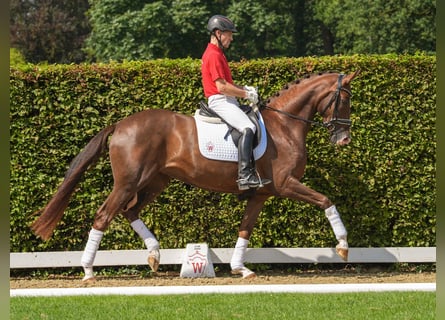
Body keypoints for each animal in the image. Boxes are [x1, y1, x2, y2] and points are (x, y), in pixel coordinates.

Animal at [31, 70, 360, 280]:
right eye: (344, 99)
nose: (344, 139)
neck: (284, 125)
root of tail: (121, 125)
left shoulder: (261, 194)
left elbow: (245, 230)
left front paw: (241, 268)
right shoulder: (286, 184)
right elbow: (326, 201)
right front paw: (343, 246)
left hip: (155, 181)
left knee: (130, 211)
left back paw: (154, 255)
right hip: (128, 182)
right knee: (104, 215)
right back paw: (88, 271)